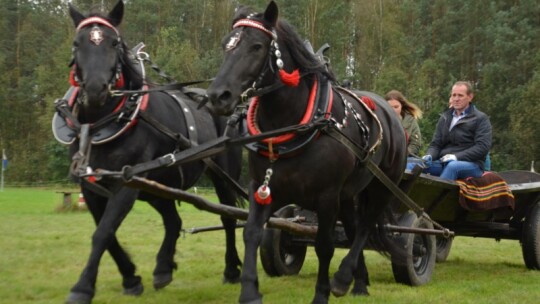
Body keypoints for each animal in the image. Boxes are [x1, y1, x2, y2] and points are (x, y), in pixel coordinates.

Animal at [52, 1, 243, 302]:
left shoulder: (126, 184)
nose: (95, 89)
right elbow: (106, 233)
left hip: (223, 176)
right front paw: (131, 278)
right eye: (76, 43)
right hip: (157, 186)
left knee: (227, 217)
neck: (101, 124)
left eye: (114, 42)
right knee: (173, 220)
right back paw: (163, 267)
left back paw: (232, 269)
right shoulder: (91, 186)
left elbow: (103, 232)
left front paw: (82, 287)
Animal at [208, 1, 410, 302]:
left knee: (365, 227)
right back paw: (359, 283)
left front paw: (322, 292)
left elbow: (324, 246)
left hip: (382, 187)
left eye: (256, 46)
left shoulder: (326, 196)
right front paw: (249, 291)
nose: (217, 96)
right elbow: (252, 234)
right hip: (348, 194)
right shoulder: (263, 187)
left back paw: (342, 278)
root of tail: (389, 112)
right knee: (354, 229)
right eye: (226, 45)